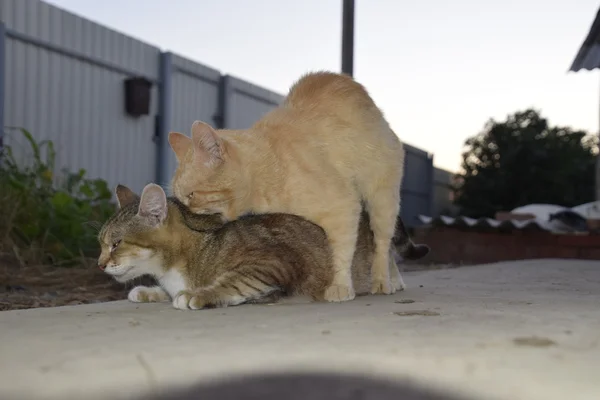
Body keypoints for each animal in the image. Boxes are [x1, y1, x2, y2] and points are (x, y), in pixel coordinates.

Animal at [97, 183, 426, 310]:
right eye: (100, 243)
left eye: (116, 243)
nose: (99, 264)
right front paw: (150, 291)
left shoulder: (272, 263)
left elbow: (233, 283)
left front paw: (197, 294)